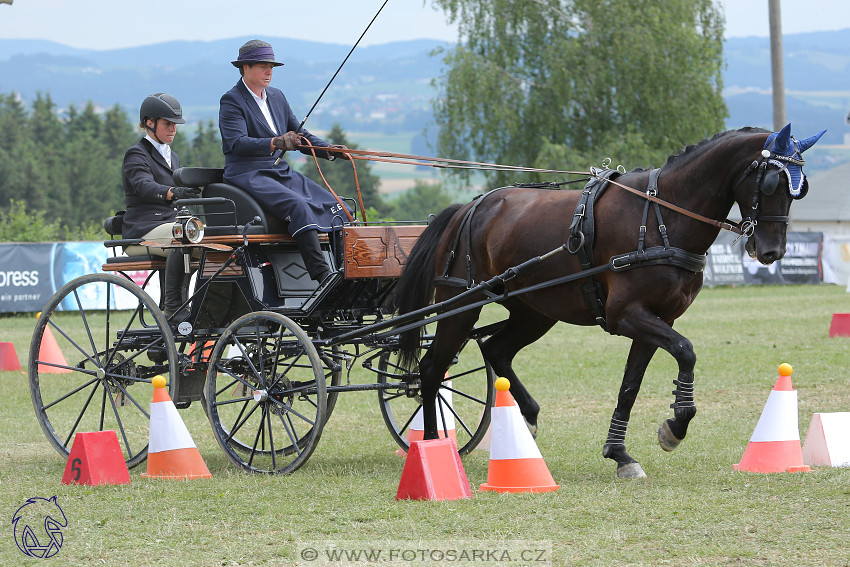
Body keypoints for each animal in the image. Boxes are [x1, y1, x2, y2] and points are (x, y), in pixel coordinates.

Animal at [396, 125, 820, 480]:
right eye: (770, 182)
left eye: (798, 188)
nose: (772, 251)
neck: (662, 215)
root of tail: (469, 208)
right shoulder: (627, 315)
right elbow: (686, 350)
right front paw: (675, 426)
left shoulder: (655, 321)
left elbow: (630, 387)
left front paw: (621, 454)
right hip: (461, 304)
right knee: (431, 369)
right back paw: (431, 447)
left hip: (534, 312)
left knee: (495, 348)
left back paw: (527, 419)